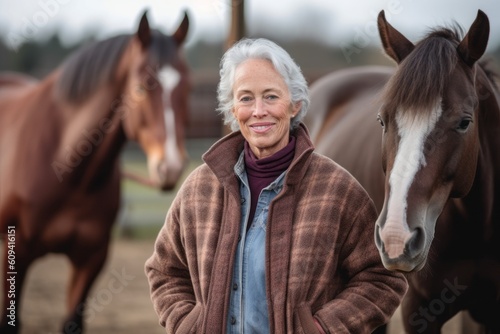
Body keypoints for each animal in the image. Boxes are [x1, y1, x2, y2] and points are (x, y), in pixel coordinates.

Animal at [0, 10, 191, 334]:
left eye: (187, 86)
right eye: (140, 88)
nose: (171, 166)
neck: (66, 169)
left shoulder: (90, 259)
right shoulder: (16, 253)